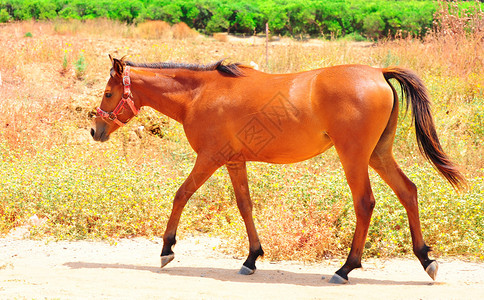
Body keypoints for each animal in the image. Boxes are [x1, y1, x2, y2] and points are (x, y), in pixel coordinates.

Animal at [91, 55, 466, 284]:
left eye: (108, 93)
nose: (95, 130)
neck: (199, 93)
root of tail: (379, 72)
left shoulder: (210, 159)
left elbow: (181, 195)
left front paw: (167, 249)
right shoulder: (234, 161)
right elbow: (245, 206)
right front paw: (252, 258)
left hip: (355, 156)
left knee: (365, 203)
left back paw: (346, 268)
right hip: (378, 154)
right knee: (408, 191)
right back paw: (426, 259)